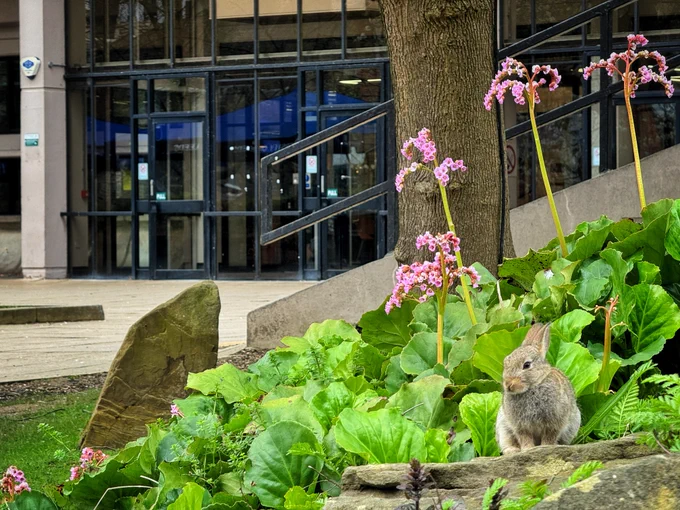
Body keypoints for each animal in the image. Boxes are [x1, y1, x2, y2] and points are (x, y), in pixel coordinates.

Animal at [495, 322, 581, 455]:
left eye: (527, 365)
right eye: (505, 363)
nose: (508, 385)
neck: (533, 386)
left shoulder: (554, 422)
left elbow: (549, 436)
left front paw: (545, 447)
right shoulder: (520, 425)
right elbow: (524, 437)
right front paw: (528, 449)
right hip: (503, 427)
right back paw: (513, 450)